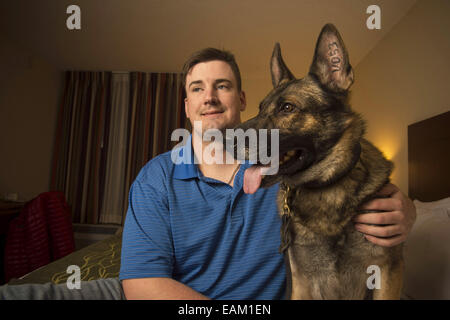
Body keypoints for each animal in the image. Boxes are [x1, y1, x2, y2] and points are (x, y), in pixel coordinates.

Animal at [236, 23, 404, 298]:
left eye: (287, 108)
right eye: (260, 108)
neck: (327, 186)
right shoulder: (302, 282)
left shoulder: (387, 271)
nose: (222, 138)